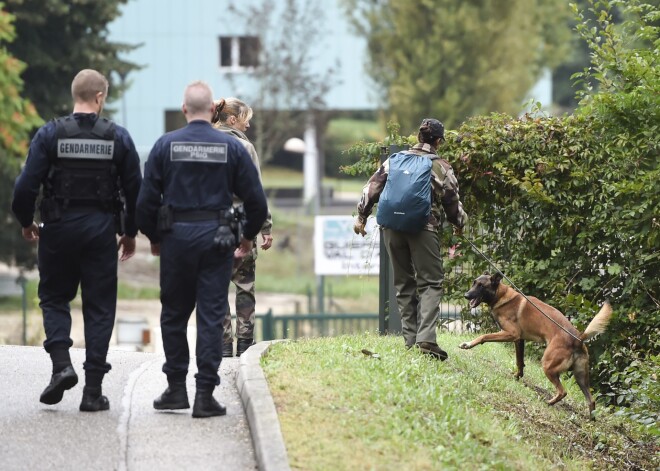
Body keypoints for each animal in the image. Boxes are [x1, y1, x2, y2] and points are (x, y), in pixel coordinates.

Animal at [462, 272, 612, 414]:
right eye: (474, 283)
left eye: (481, 286)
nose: (466, 295)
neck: (501, 296)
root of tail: (578, 338)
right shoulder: (519, 340)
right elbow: (520, 361)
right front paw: (517, 376)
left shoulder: (511, 334)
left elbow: (484, 336)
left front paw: (468, 344)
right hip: (581, 376)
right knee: (591, 401)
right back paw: (590, 419)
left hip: (548, 365)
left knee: (563, 392)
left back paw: (549, 402)